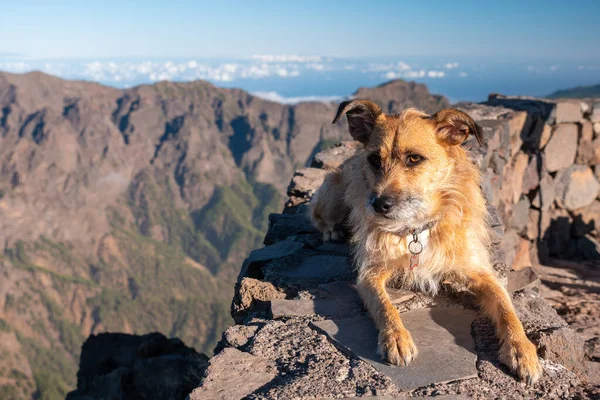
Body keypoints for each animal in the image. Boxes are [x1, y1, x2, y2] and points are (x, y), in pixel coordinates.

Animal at [312, 99, 540, 384]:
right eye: (374, 159)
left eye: (414, 159)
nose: (378, 205)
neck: (417, 228)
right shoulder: (370, 273)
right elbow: (384, 305)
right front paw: (396, 337)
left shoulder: (481, 273)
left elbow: (506, 307)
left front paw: (522, 349)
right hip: (334, 192)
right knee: (316, 213)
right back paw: (331, 230)